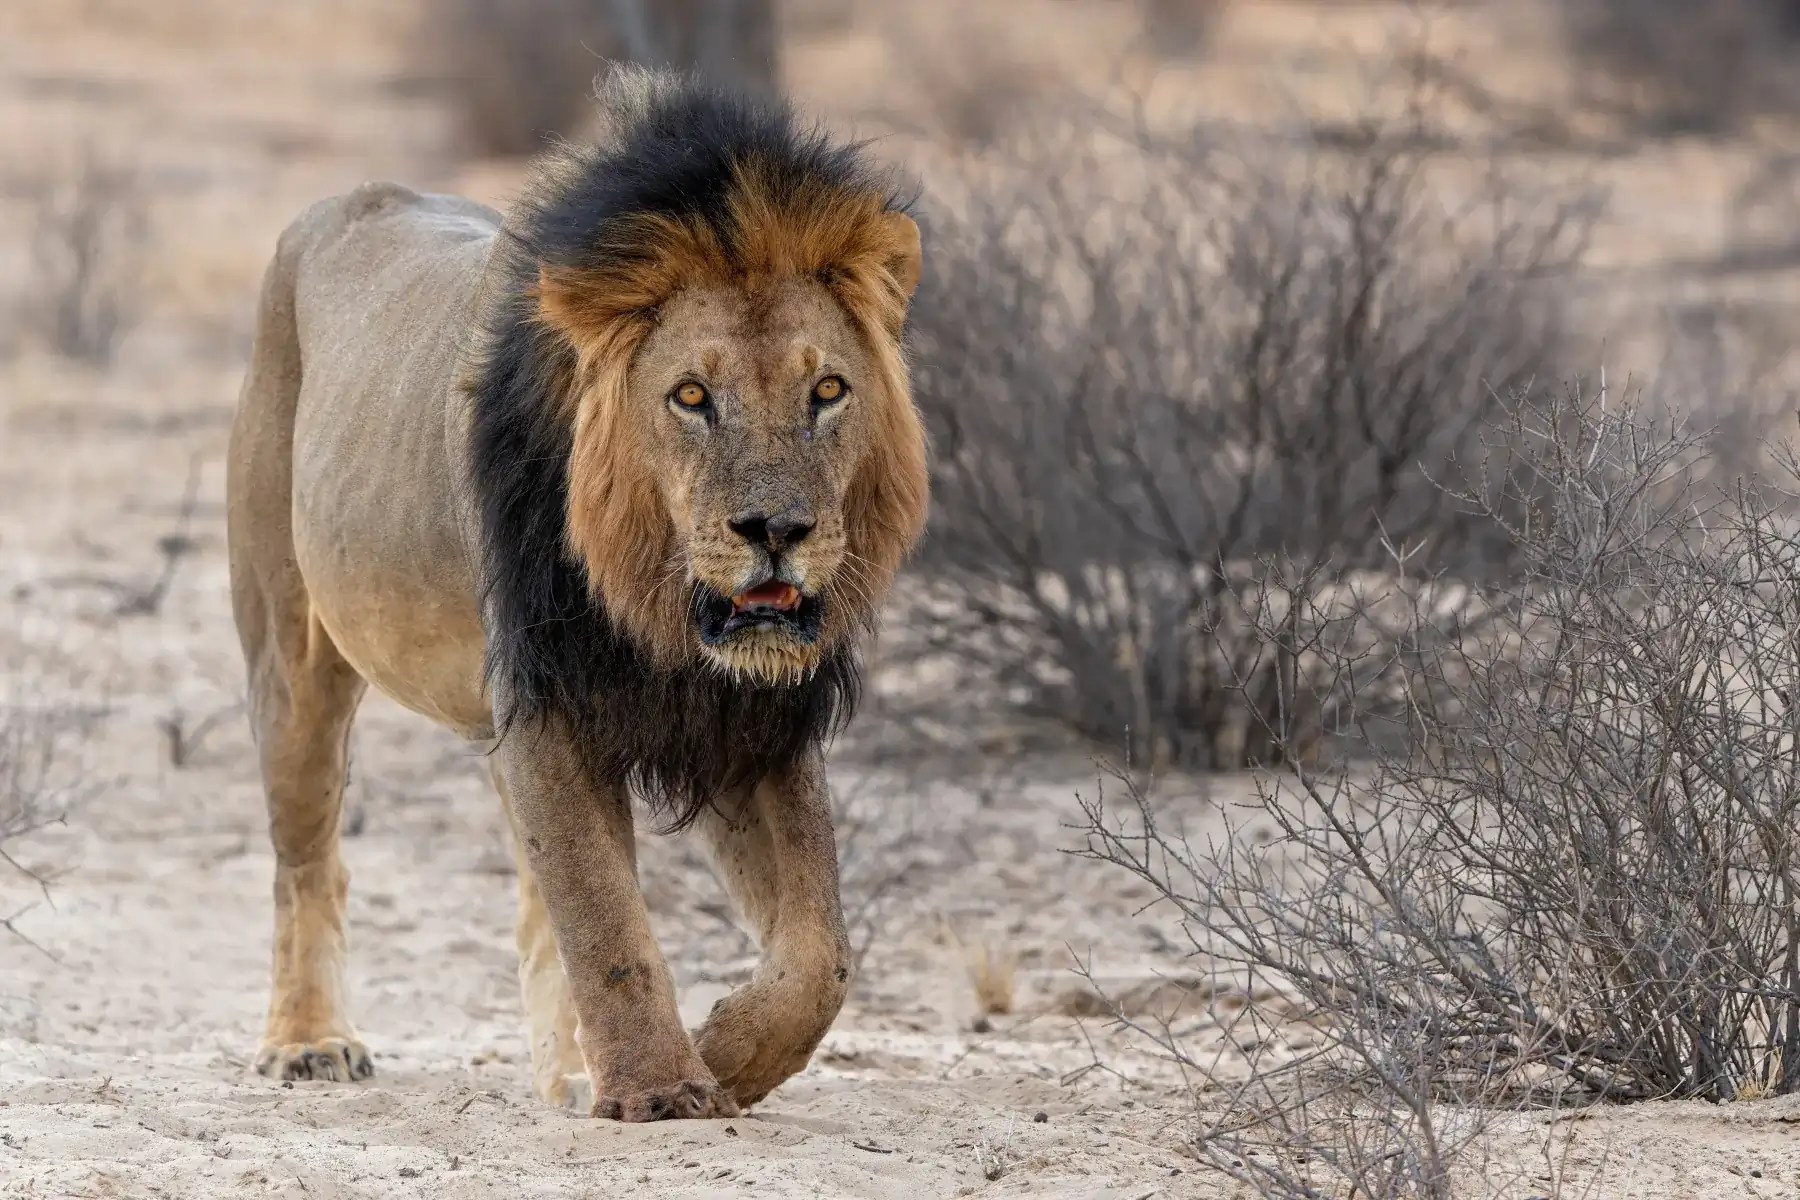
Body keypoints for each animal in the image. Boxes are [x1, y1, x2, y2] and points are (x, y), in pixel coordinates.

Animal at [225, 66, 927, 1121]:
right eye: (690, 396)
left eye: (829, 391)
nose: (777, 532)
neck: (655, 610)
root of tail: (332, 207)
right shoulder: (548, 697)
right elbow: (605, 917)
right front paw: (663, 1088)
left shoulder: (749, 722)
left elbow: (821, 953)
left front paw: (727, 1053)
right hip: (292, 659)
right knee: (308, 861)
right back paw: (308, 1042)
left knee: (530, 894)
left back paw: (571, 1071)